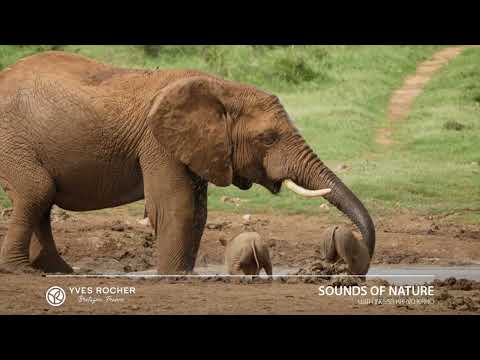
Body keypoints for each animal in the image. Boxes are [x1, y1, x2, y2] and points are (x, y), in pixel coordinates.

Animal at [0, 50, 376, 274]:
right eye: (268, 138)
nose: (350, 263)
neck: (222, 88)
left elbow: (197, 212)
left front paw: (182, 273)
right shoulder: (157, 142)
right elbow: (175, 207)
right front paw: (171, 276)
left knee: (42, 199)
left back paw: (56, 270)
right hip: (13, 141)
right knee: (36, 191)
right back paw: (22, 271)